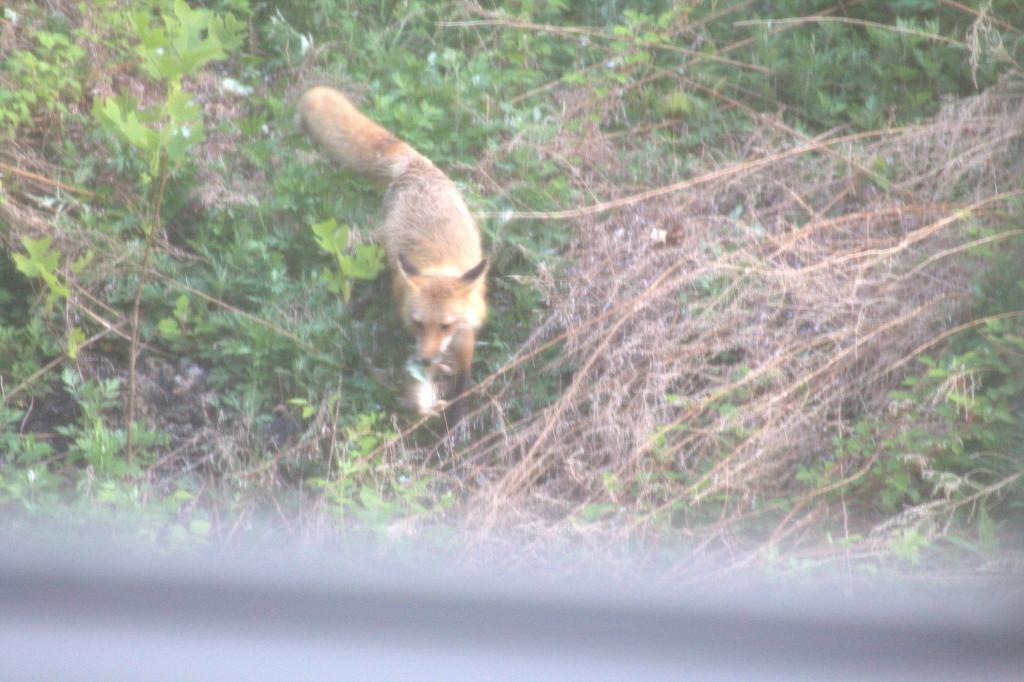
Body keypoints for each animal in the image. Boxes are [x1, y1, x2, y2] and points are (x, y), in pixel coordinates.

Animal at [297, 85, 487, 426]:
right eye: (418, 323)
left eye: (446, 325)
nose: (425, 359)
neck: (440, 266)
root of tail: (416, 163)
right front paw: (427, 406)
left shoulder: (466, 339)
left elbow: (463, 384)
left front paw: (455, 420)